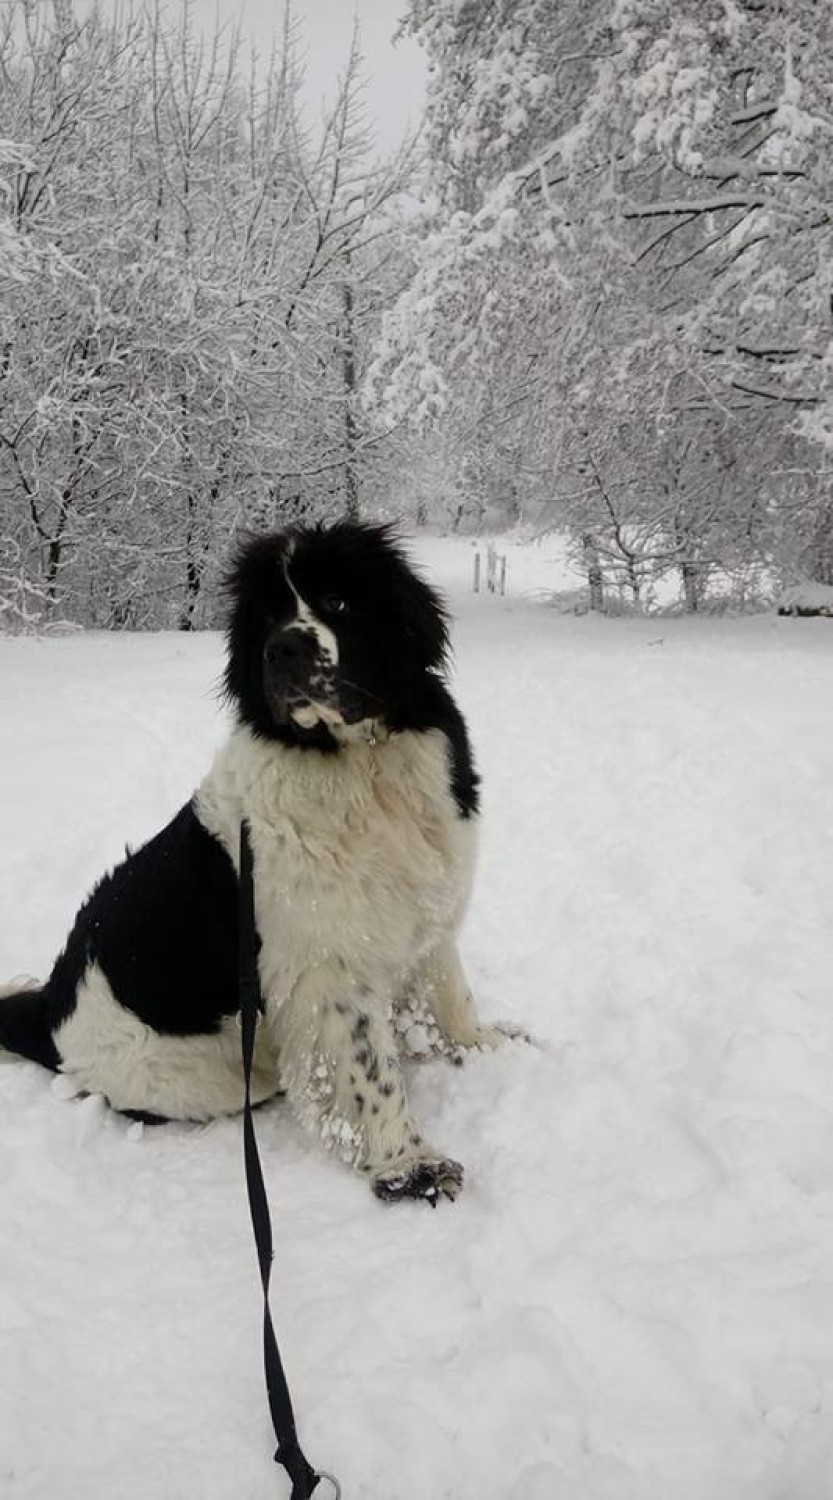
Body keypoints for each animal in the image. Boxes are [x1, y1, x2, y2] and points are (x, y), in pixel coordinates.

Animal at [0, 522, 507, 1200]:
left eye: (338, 601)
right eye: (267, 618)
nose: (283, 649)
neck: (360, 765)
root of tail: (49, 1013)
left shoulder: (423, 916)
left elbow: (447, 993)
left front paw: (482, 1046)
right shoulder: (323, 969)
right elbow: (367, 1069)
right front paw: (408, 1164)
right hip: (195, 1075)